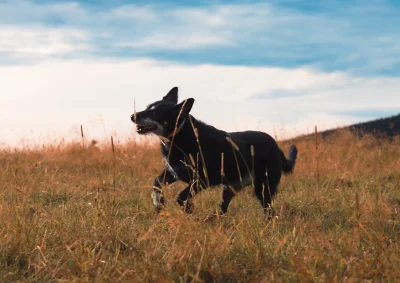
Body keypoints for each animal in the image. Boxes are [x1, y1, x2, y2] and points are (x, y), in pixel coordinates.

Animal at [131, 87, 296, 219]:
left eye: (154, 112)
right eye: (147, 107)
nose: (132, 116)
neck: (178, 138)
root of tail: (277, 147)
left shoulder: (203, 179)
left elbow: (181, 197)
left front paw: (190, 212)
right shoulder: (174, 173)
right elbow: (156, 183)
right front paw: (158, 204)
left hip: (263, 186)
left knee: (269, 210)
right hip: (230, 187)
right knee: (223, 207)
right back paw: (211, 219)